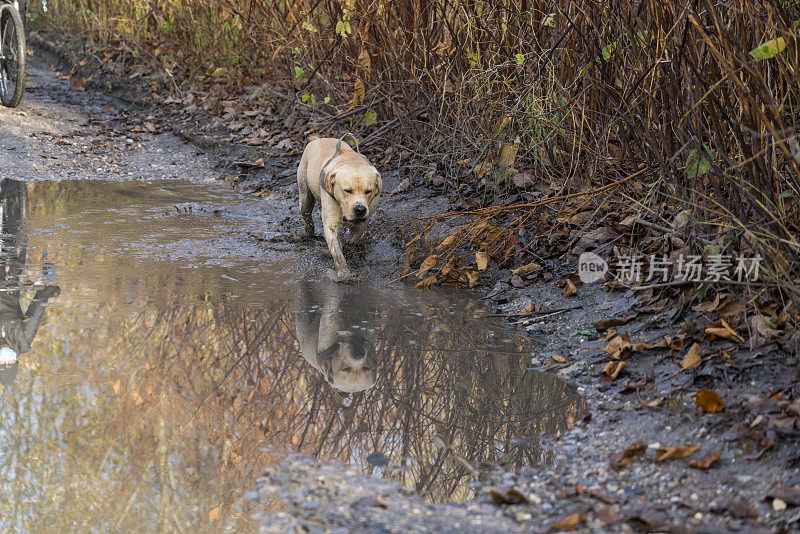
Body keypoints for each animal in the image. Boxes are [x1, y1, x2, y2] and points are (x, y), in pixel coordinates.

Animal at [296, 136, 382, 282]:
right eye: (347, 190)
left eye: (368, 191)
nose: (360, 209)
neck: (351, 161)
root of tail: (317, 139)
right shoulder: (331, 225)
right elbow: (337, 252)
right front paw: (344, 273)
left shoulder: (362, 222)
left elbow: (353, 240)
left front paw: (349, 250)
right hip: (305, 197)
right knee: (307, 214)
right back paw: (309, 232)